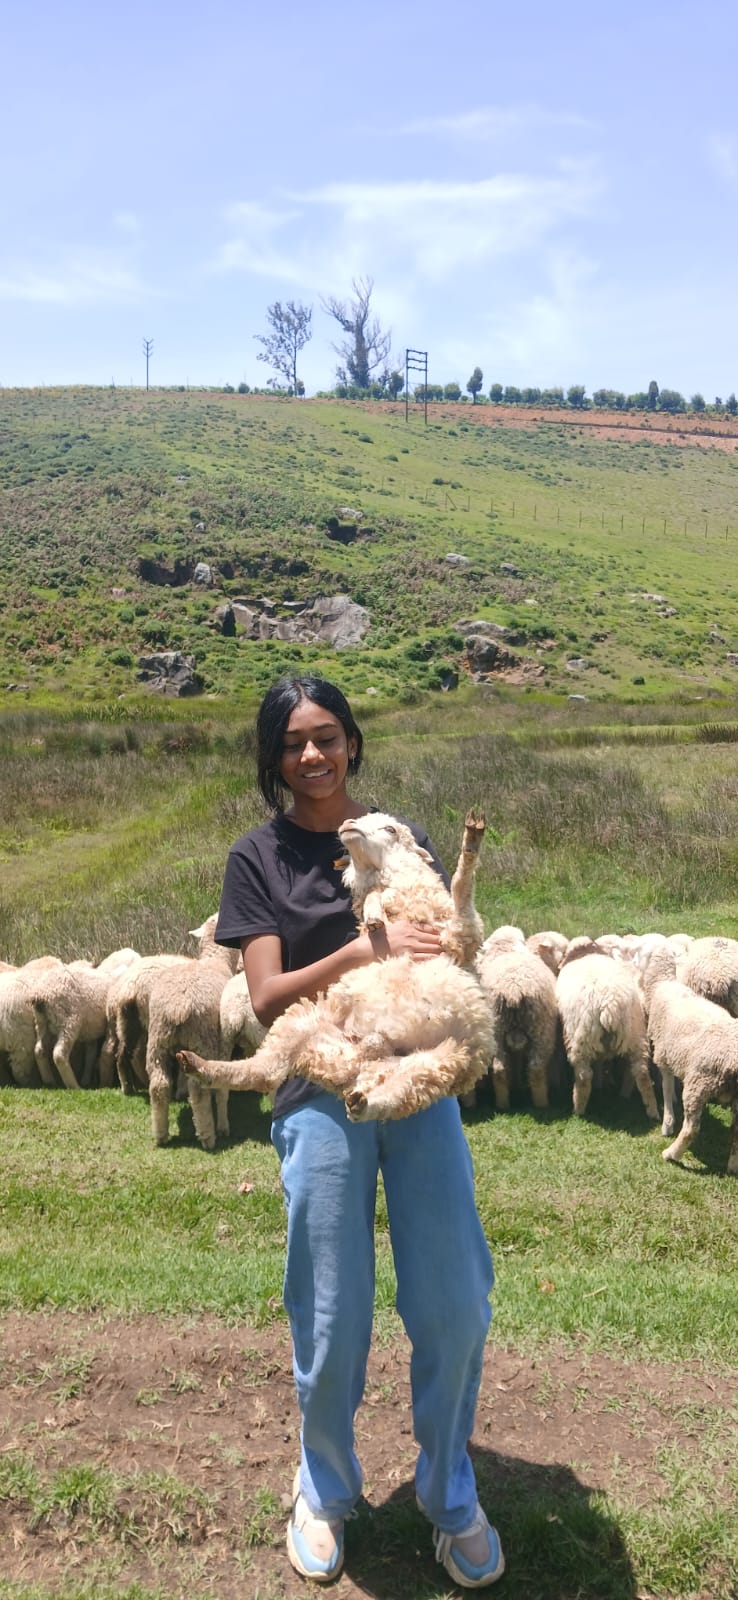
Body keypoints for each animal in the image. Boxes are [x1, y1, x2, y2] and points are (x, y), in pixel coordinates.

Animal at [144, 918, 241, 1149]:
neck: (215, 959)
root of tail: (177, 1006)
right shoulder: (221, 1043)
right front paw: (223, 1126)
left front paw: (180, 1091)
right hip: (202, 1040)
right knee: (198, 1091)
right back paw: (208, 1136)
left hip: (157, 1041)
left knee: (158, 1087)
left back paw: (161, 1134)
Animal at [178, 811, 493, 1123]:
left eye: (390, 829)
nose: (348, 824)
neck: (410, 904)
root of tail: (360, 1060)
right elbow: (374, 899)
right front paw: (374, 917)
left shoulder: (461, 935)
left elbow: (461, 887)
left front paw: (471, 841)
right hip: (302, 1023)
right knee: (265, 1072)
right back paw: (198, 1065)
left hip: (443, 1061)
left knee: (395, 1093)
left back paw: (364, 1103)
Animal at [474, 925, 559, 1111]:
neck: (504, 950)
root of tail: (513, 989)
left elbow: (515, 1061)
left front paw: (516, 1084)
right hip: (541, 1029)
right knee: (536, 1068)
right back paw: (542, 1102)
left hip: (497, 1030)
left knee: (499, 1068)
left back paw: (502, 1103)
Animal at [555, 936, 659, 1121]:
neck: (584, 951)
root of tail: (610, 1003)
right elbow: (601, 1060)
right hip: (635, 1035)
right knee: (640, 1072)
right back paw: (648, 1108)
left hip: (580, 1038)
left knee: (583, 1076)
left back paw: (578, 1109)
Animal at [636, 943, 738, 1172]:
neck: (662, 983)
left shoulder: (663, 1056)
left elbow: (666, 1088)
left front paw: (667, 1123)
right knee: (737, 1133)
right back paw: (733, 1165)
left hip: (699, 1083)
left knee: (692, 1128)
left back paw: (671, 1153)